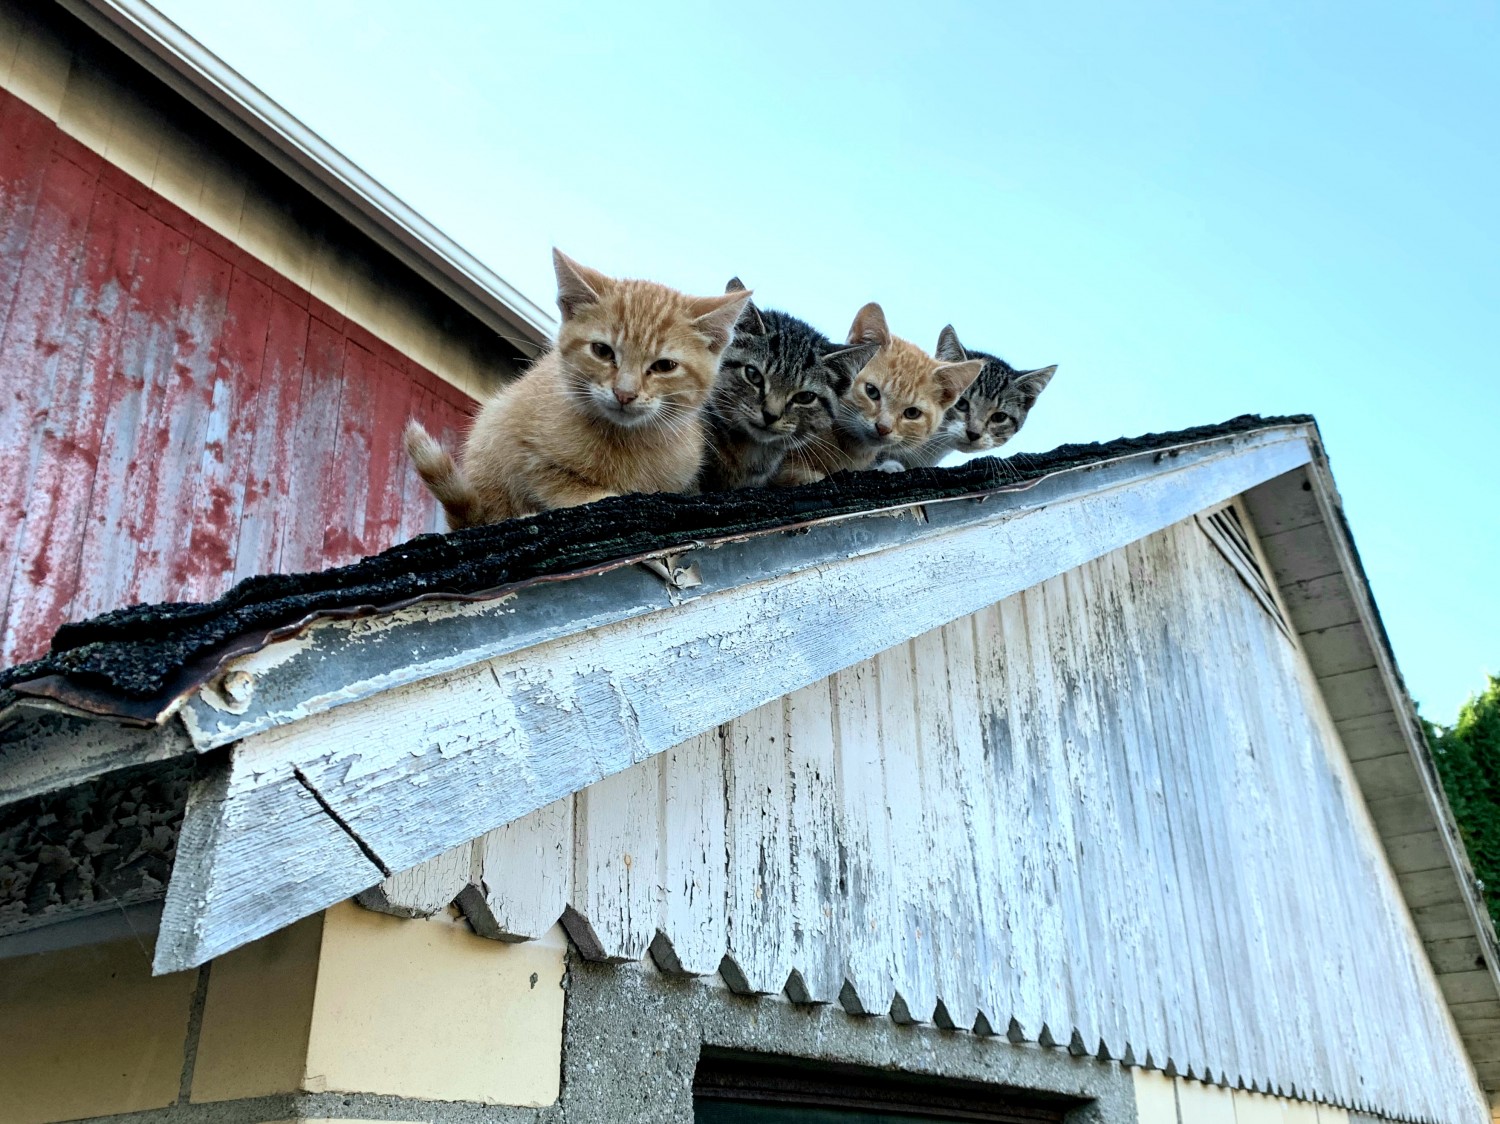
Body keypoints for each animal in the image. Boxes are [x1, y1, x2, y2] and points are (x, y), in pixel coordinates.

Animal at [405, 252, 750, 525]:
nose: (624, 393)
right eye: (602, 351)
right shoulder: (521, 448)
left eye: (665, 366)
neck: (624, 442)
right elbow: (564, 485)